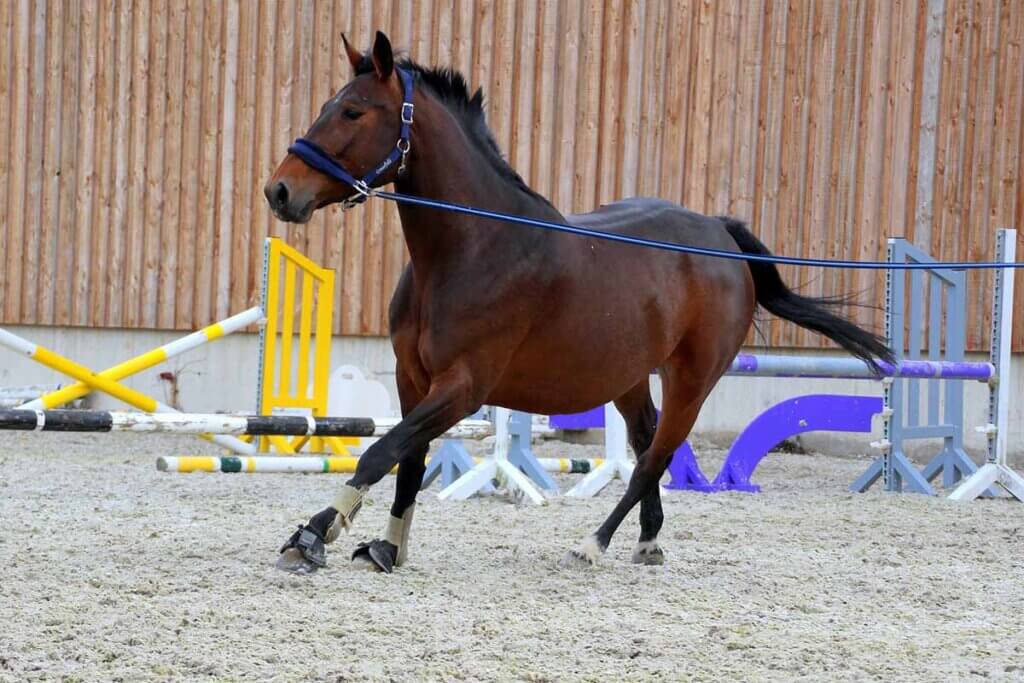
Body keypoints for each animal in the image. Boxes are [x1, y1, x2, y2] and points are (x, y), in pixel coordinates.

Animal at [264, 31, 893, 575]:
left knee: (654, 457)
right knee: (646, 441)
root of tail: (718, 234)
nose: (280, 191)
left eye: (353, 112)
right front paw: (387, 549)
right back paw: (648, 540)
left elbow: (381, 451)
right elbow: (408, 463)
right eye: (329, 104)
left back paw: (595, 543)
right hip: (630, 378)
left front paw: (314, 534)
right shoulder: (411, 378)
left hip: (693, 380)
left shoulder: (463, 387)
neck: (472, 248)